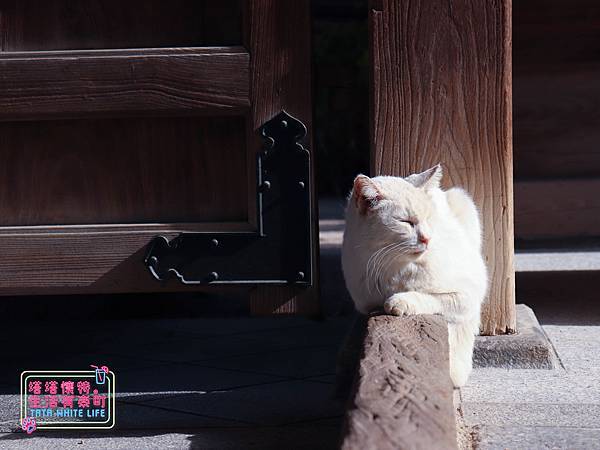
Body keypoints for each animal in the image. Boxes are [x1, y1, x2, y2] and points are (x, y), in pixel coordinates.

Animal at [342, 165, 488, 386]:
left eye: (428, 219)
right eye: (406, 222)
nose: (427, 239)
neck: (395, 267)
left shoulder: (467, 295)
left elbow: (430, 298)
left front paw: (399, 302)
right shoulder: (365, 303)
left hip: (463, 202)